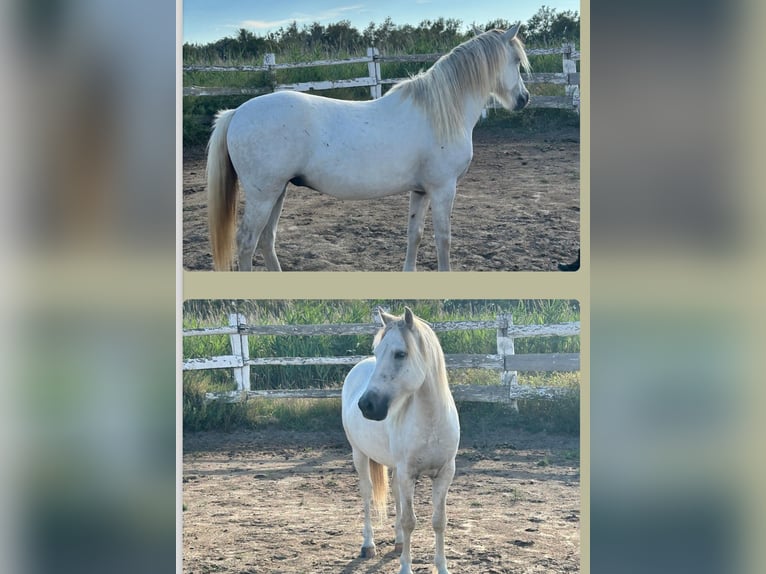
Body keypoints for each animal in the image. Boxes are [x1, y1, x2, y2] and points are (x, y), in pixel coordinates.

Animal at [204, 29, 532, 274]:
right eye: (516, 60)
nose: (524, 99)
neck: (441, 113)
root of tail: (236, 112)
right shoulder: (443, 189)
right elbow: (443, 240)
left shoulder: (421, 191)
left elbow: (415, 235)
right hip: (263, 195)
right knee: (247, 241)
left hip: (278, 192)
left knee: (266, 240)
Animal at [344, 310, 462, 574]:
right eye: (378, 352)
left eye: (400, 354)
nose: (366, 405)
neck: (431, 421)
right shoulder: (409, 472)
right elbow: (410, 521)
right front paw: (405, 567)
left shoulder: (444, 472)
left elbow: (439, 521)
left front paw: (442, 567)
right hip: (359, 454)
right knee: (367, 493)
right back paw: (368, 545)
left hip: (395, 467)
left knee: (396, 493)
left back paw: (398, 543)